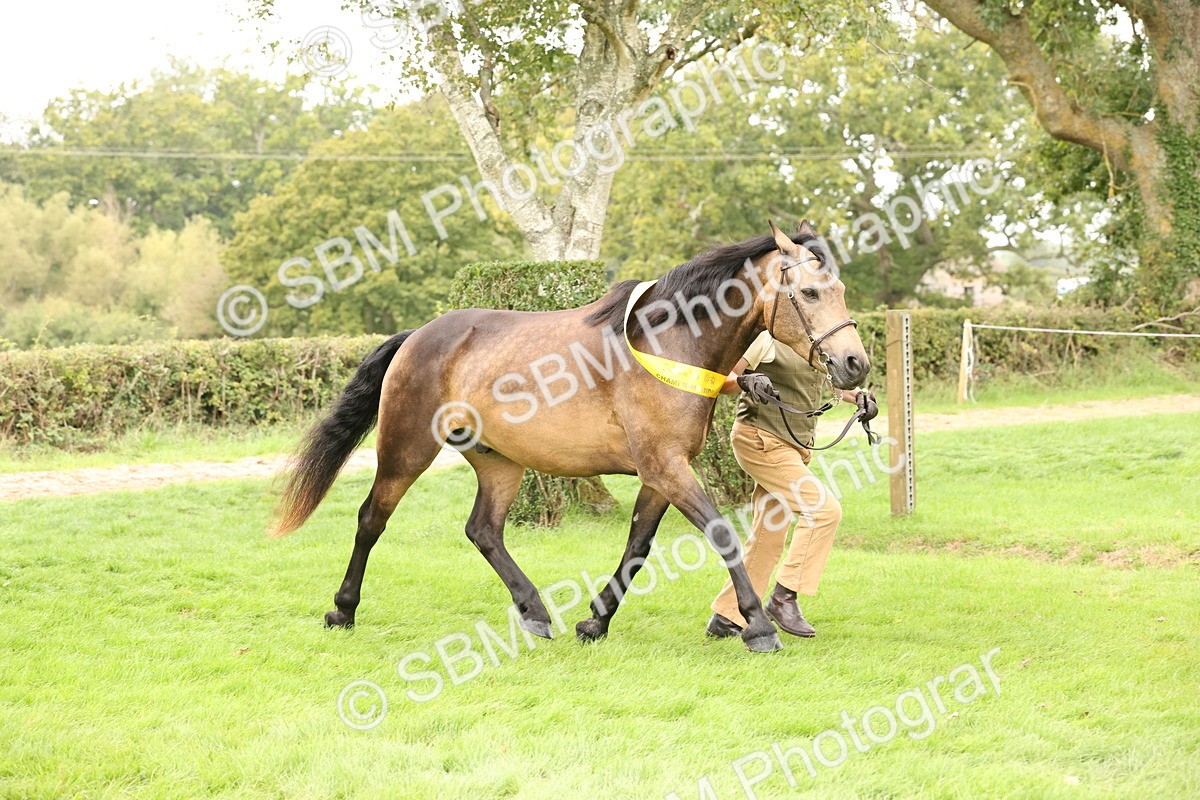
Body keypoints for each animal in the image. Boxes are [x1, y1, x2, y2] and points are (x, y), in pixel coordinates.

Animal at [272, 220, 870, 652]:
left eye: (840, 288)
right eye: (810, 292)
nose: (855, 365)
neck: (670, 342)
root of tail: (419, 335)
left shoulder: (660, 473)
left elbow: (637, 546)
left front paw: (595, 622)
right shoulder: (667, 467)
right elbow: (721, 533)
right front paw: (758, 627)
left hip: (499, 461)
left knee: (483, 530)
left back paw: (536, 613)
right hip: (406, 449)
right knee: (371, 518)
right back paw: (342, 609)